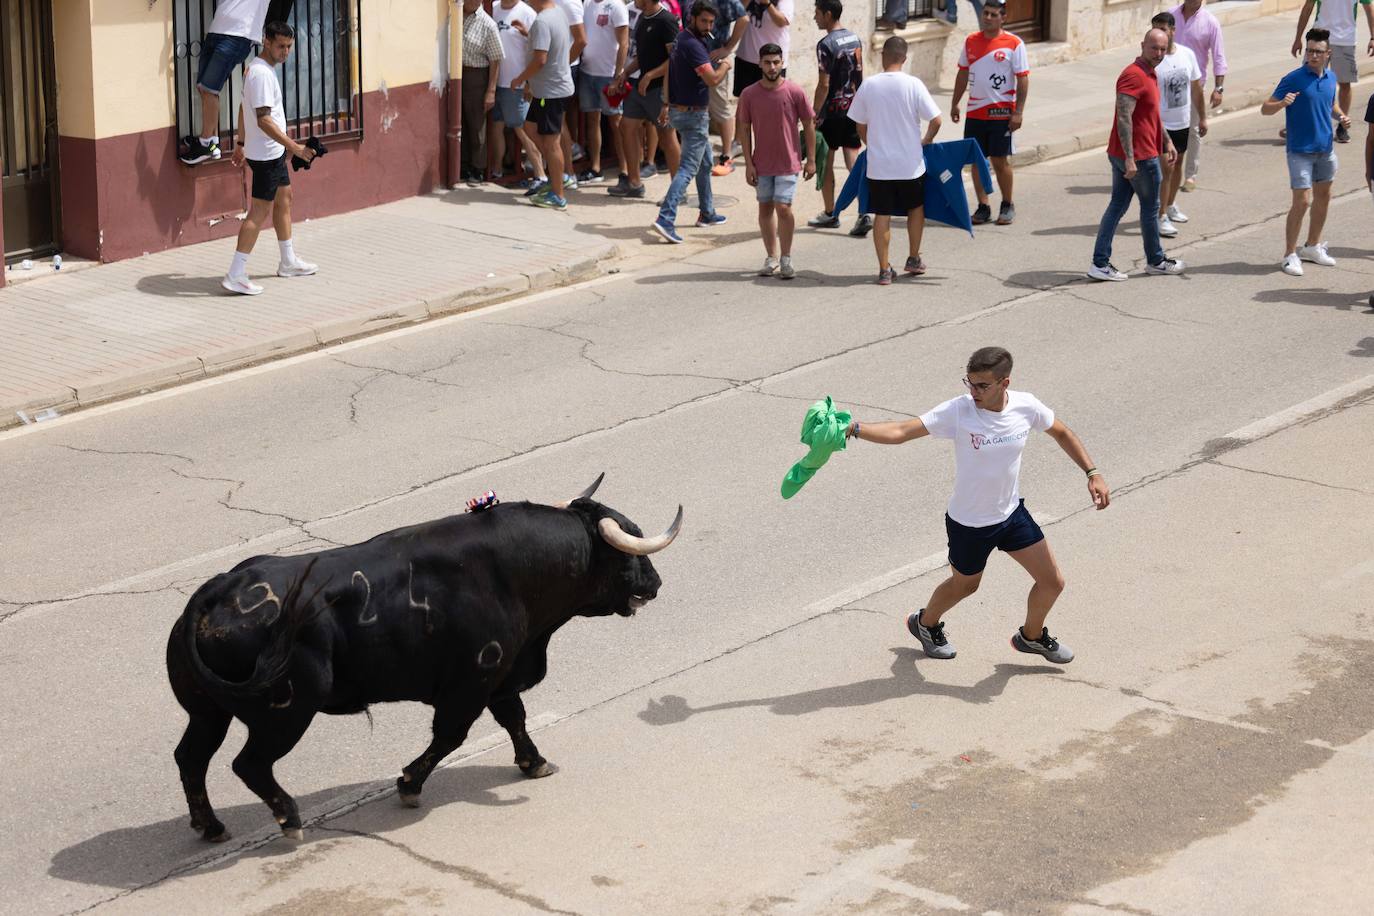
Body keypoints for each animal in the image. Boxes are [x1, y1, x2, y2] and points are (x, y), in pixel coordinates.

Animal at [166, 480, 681, 845]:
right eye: (630, 548)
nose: (656, 583)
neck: (517, 573)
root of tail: (218, 589)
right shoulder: (470, 682)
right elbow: (451, 735)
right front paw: (409, 784)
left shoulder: (500, 675)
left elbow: (514, 718)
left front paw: (534, 762)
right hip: (286, 713)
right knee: (249, 764)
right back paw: (289, 819)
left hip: (208, 712)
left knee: (192, 757)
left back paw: (211, 827)